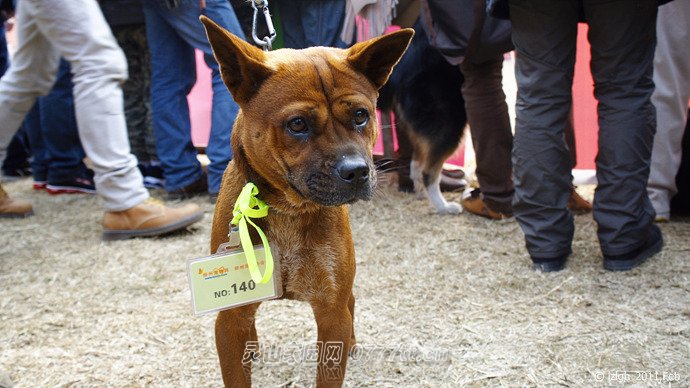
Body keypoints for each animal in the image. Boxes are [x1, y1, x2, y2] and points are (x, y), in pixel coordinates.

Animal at [202, 15, 412, 388]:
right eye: (297, 124)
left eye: (361, 115)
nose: (357, 171)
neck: (289, 211)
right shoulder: (230, 321)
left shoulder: (331, 312)